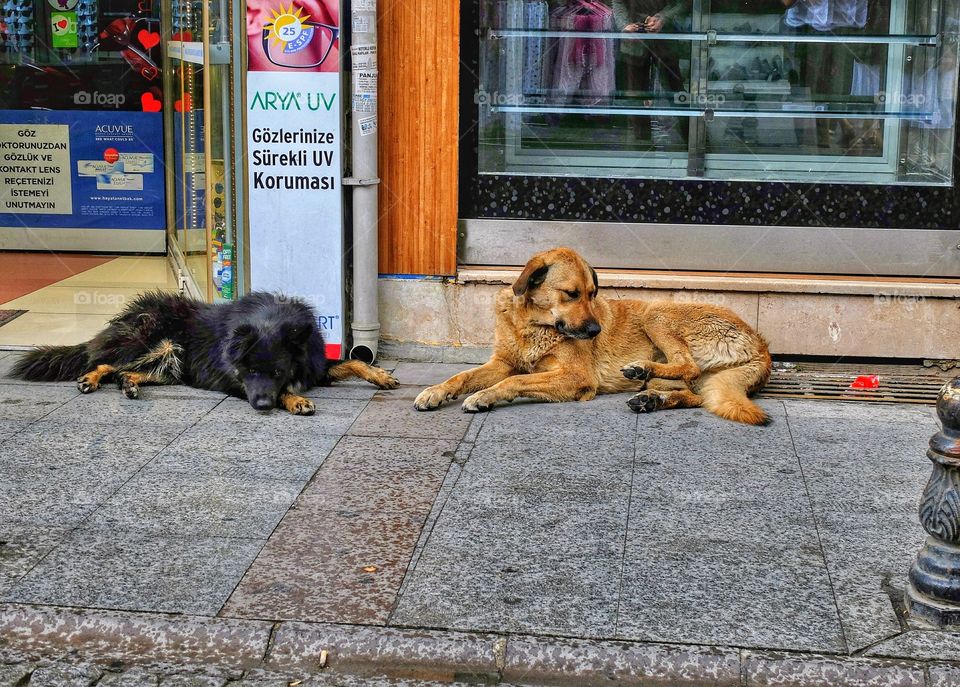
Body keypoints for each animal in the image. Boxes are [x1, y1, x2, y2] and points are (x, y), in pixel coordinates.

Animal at [8, 290, 398, 414]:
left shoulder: (313, 364)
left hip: (171, 363)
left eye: (276, 371)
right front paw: (296, 400)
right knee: (104, 361)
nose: (262, 406)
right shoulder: (232, 381)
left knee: (123, 372)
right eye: (250, 371)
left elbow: (352, 361)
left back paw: (130, 385)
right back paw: (89, 378)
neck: (271, 320)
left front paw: (380, 375)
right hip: (156, 342)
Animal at [416, 247, 776, 424]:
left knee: (688, 364)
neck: (533, 325)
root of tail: (762, 346)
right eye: (572, 294)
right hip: (687, 370)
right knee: (694, 395)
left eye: (593, 294)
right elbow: (462, 376)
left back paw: (641, 369)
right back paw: (651, 399)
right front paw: (436, 391)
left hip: (655, 312)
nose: (595, 331)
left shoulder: (576, 376)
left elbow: (513, 381)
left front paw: (484, 396)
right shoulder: (502, 362)